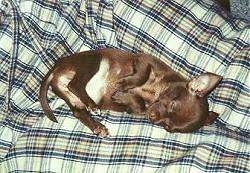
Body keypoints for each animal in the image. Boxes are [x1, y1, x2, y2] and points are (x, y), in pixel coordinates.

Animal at [39, 47, 223, 137]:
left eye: (167, 127)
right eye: (172, 103)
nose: (152, 117)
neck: (156, 93)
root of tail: (57, 66)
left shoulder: (139, 108)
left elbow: (139, 105)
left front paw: (122, 95)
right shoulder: (144, 60)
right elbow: (141, 76)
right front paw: (123, 85)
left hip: (70, 96)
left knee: (78, 111)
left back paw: (97, 126)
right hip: (94, 61)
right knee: (75, 84)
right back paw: (93, 105)